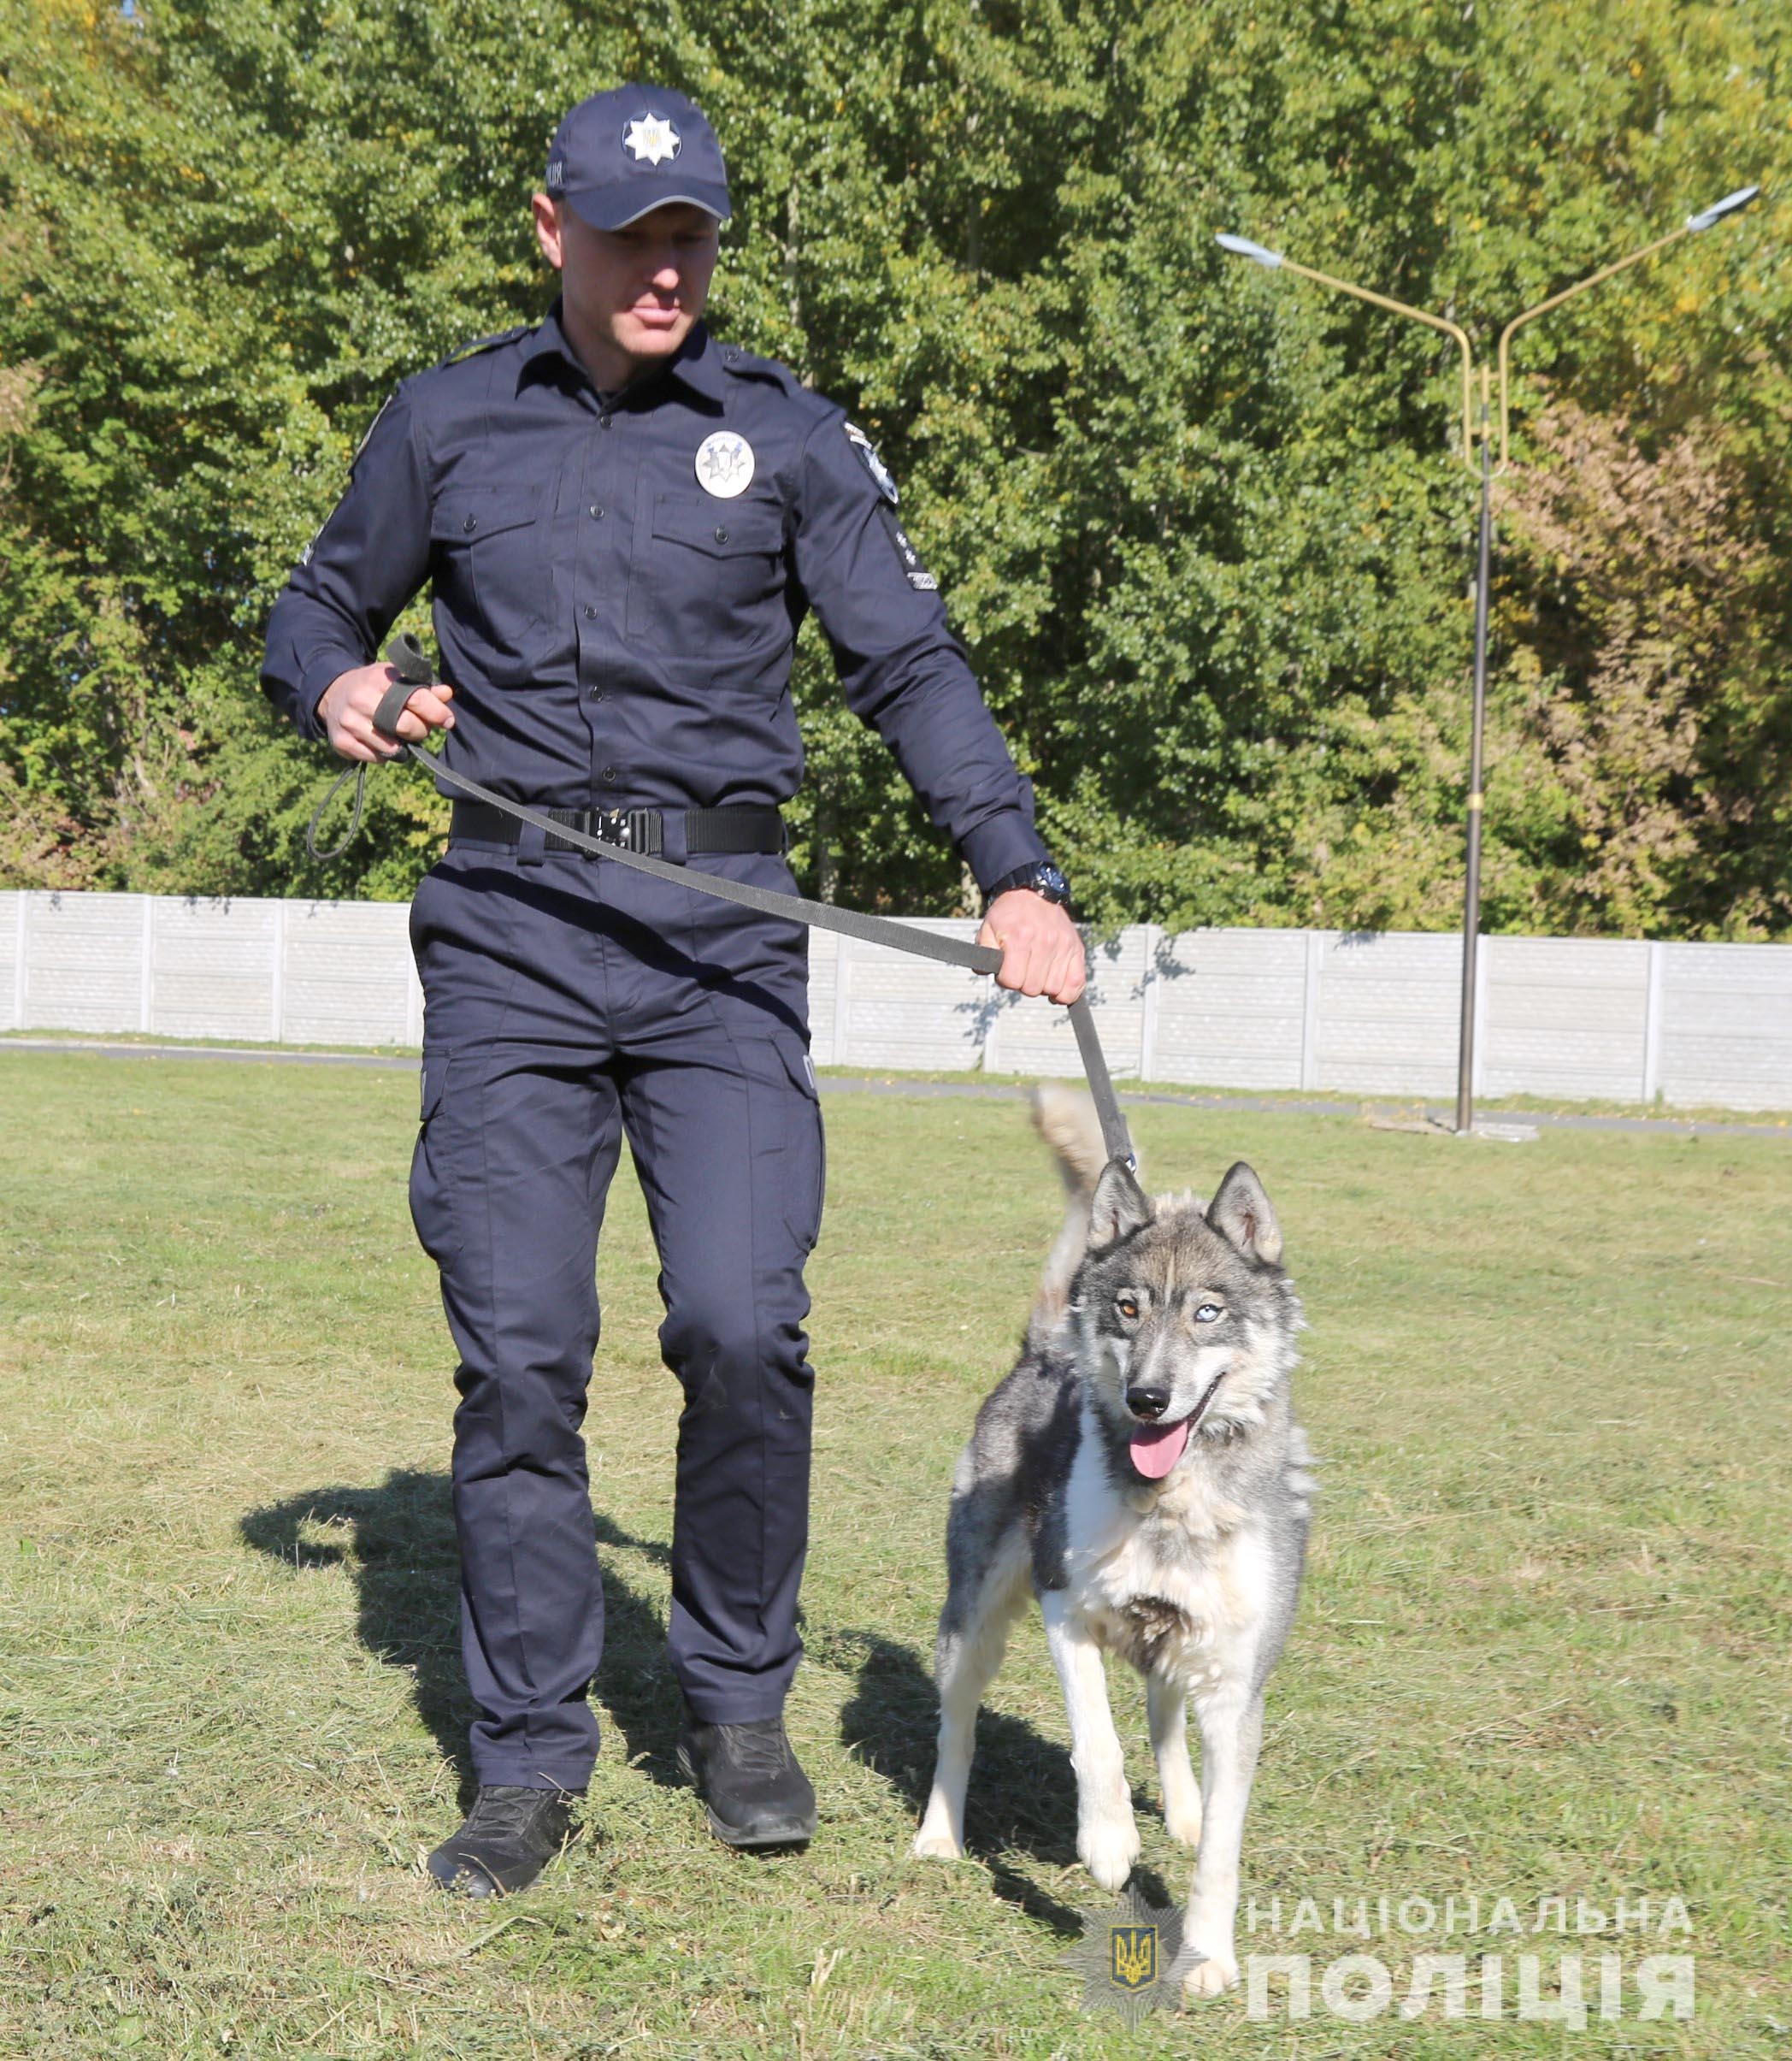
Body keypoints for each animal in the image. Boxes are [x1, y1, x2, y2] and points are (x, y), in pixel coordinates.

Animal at [910, 1088, 1317, 2003]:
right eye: (1129, 1309)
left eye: (1207, 1312)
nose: (1147, 1399)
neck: (1172, 1504)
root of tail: (1044, 1348)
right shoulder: (1066, 1608)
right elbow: (1094, 1738)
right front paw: (1107, 1844)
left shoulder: (1237, 1683)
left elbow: (1223, 1846)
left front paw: (1208, 1954)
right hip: (974, 1621)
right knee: (958, 1729)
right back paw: (938, 1837)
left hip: (1180, 1650)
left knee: (1166, 1716)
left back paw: (1184, 1807)